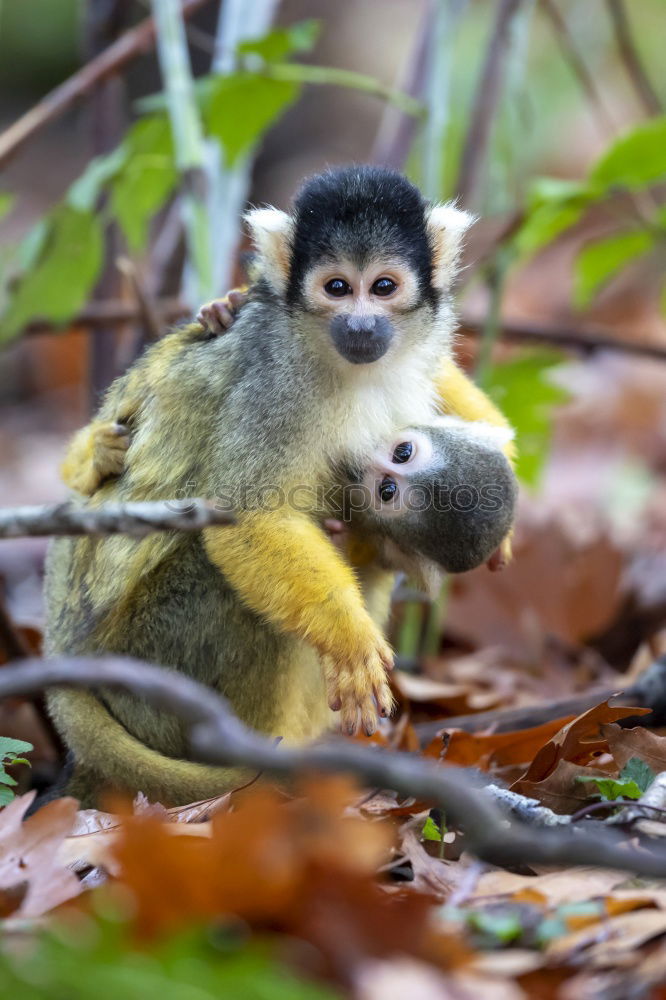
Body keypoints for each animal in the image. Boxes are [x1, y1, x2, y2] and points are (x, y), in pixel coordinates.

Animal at [46, 164, 512, 804]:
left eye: (383, 287)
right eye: (337, 288)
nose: (362, 325)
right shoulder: (276, 380)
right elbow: (248, 517)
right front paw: (348, 639)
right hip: (146, 671)